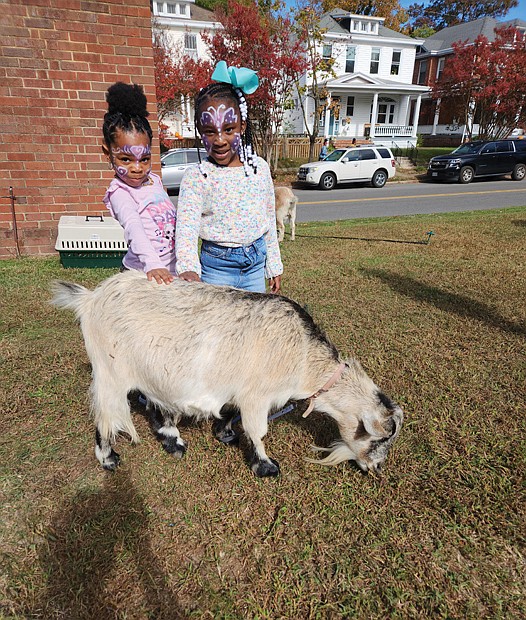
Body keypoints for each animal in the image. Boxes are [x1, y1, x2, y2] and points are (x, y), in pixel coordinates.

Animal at [51, 268, 404, 478]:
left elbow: (229, 414)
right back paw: (109, 458)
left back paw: (173, 442)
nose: (376, 469)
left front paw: (224, 433)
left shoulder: (238, 392)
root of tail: (90, 298)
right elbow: (258, 431)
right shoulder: (257, 396)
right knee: (105, 415)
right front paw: (266, 466)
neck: (302, 356)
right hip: (110, 371)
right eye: (380, 438)